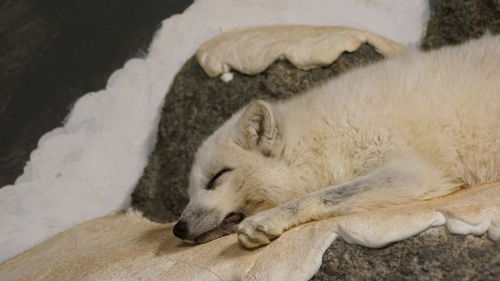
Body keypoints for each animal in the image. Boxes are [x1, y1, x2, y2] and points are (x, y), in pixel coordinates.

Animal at [173, 35, 500, 247]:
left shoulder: (414, 173)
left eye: (217, 177)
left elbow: (320, 196)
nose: (178, 228)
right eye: (190, 193)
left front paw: (265, 221)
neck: (319, 139)